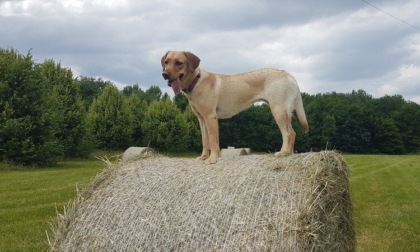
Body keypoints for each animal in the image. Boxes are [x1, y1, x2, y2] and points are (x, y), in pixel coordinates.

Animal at [162, 50, 308, 164]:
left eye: (179, 62)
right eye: (166, 62)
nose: (164, 74)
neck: (195, 81)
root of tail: (288, 75)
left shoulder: (210, 117)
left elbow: (213, 141)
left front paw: (212, 159)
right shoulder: (201, 119)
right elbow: (205, 140)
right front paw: (203, 157)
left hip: (278, 110)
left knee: (288, 133)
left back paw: (282, 153)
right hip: (284, 111)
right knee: (293, 133)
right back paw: (289, 153)